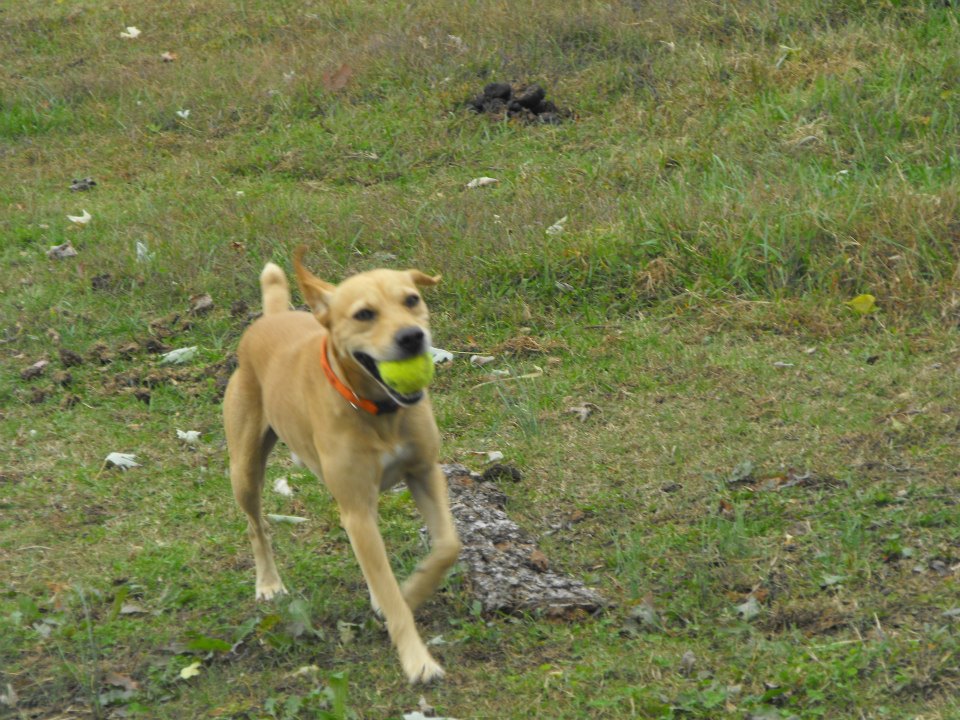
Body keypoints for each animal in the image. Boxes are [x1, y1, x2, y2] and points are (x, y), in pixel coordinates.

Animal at [223, 246, 461, 683]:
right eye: (364, 314)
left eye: (412, 300)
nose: (412, 337)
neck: (377, 409)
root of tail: (271, 317)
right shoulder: (357, 507)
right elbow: (389, 589)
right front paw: (417, 659)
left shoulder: (424, 473)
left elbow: (447, 547)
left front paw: (413, 589)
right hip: (244, 470)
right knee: (255, 525)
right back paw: (268, 583)